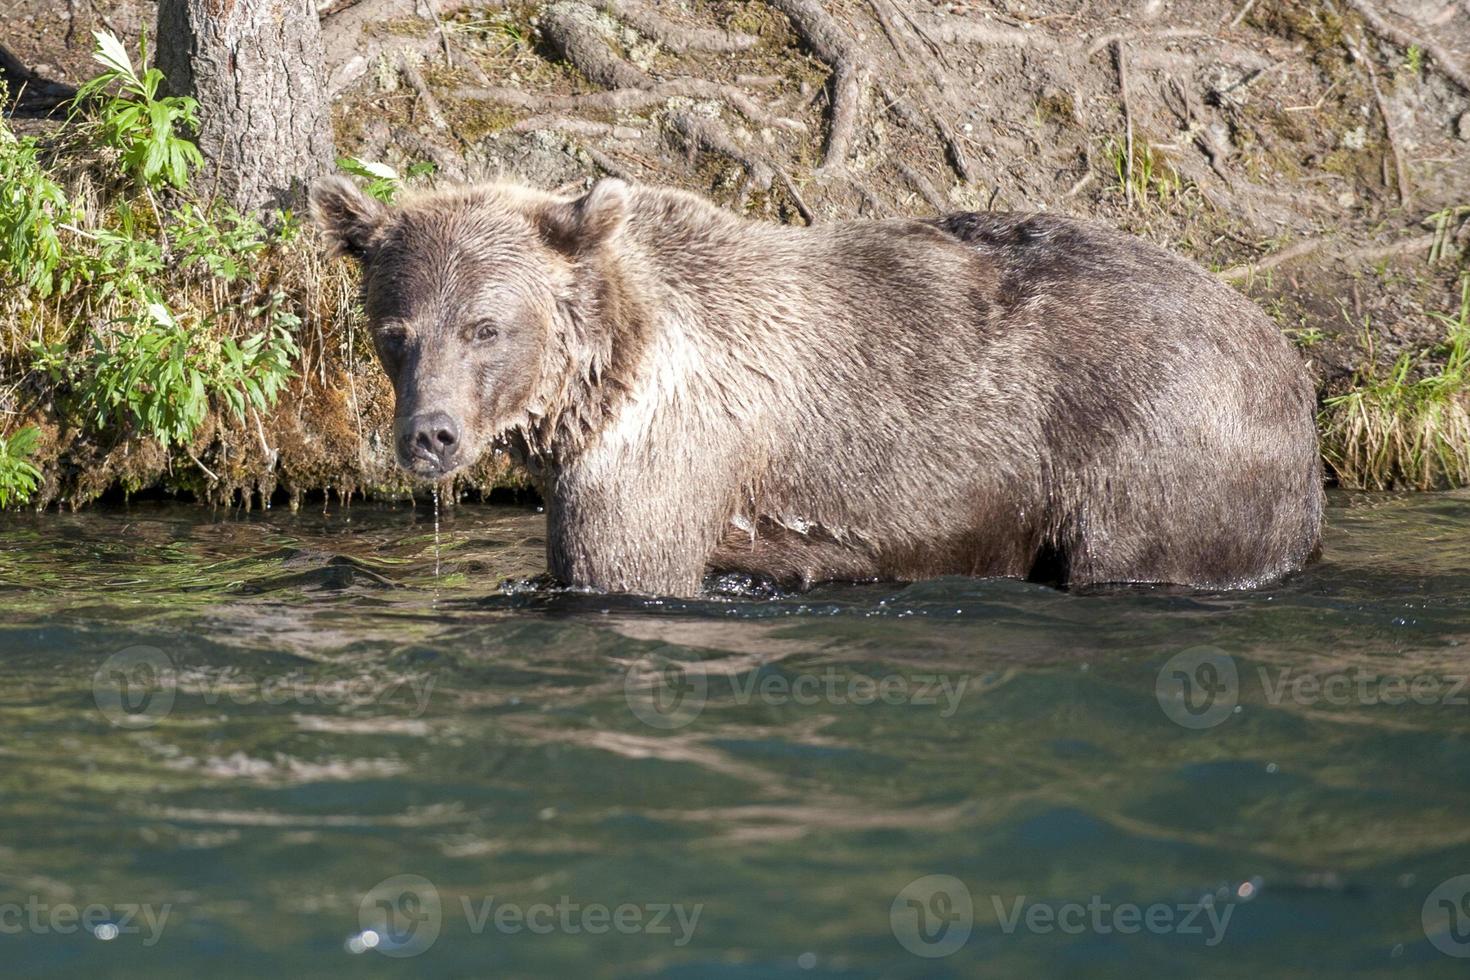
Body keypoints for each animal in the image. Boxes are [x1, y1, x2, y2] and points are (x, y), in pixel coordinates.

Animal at [310, 176, 1323, 599]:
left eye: (486, 325)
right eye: (396, 333)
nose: (430, 434)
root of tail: (1290, 367)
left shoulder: (667, 451)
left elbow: (622, 570)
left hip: (1158, 458)